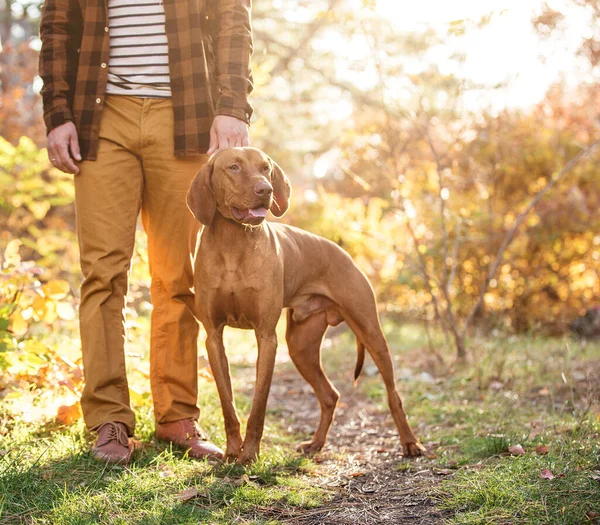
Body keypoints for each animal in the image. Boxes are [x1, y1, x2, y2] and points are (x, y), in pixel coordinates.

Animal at [185, 147, 424, 462]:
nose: (266, 189)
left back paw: (410, 443)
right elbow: (229, 404)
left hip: (371, 332)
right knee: (330, 395)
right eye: (234, 167)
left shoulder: (266, 337)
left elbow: (258, 406)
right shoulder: (213, 336)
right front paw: (232, 452)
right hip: (301, 347)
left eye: (266, 168)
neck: (233, 243)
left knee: (393, 394)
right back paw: (316, 444)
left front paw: (249, 454)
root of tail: (345, 254)